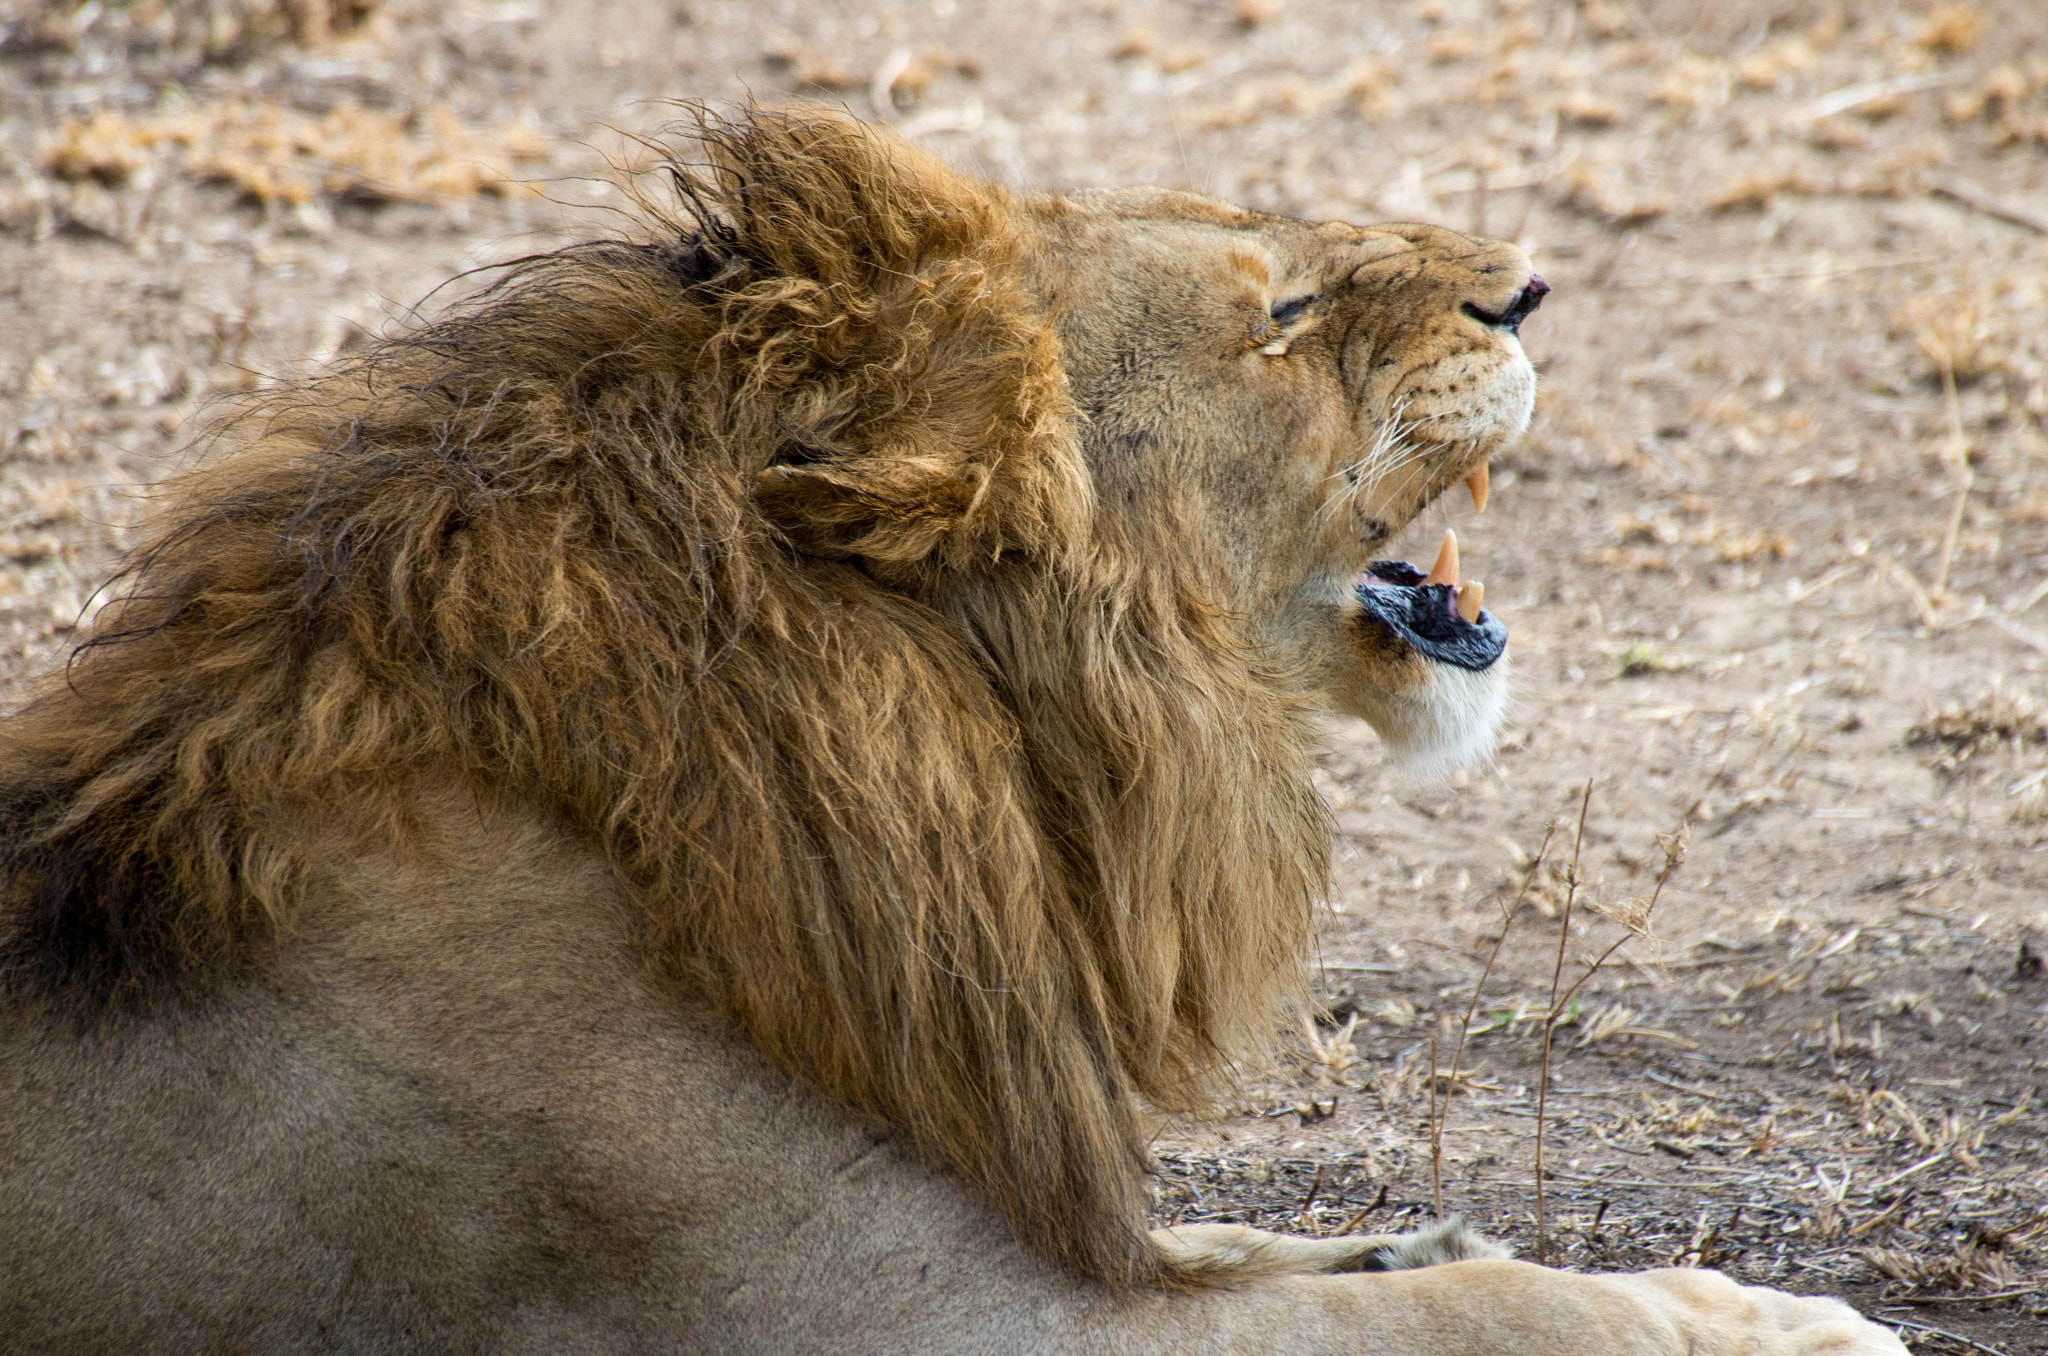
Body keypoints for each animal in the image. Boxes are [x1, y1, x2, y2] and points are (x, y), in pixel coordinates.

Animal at [4, 109, 1900, 1356]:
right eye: (1275, 313)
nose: (1529, 288)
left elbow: (1272, 1248)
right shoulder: (892, 1309)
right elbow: (1471, 1312)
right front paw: (1771, 1322)